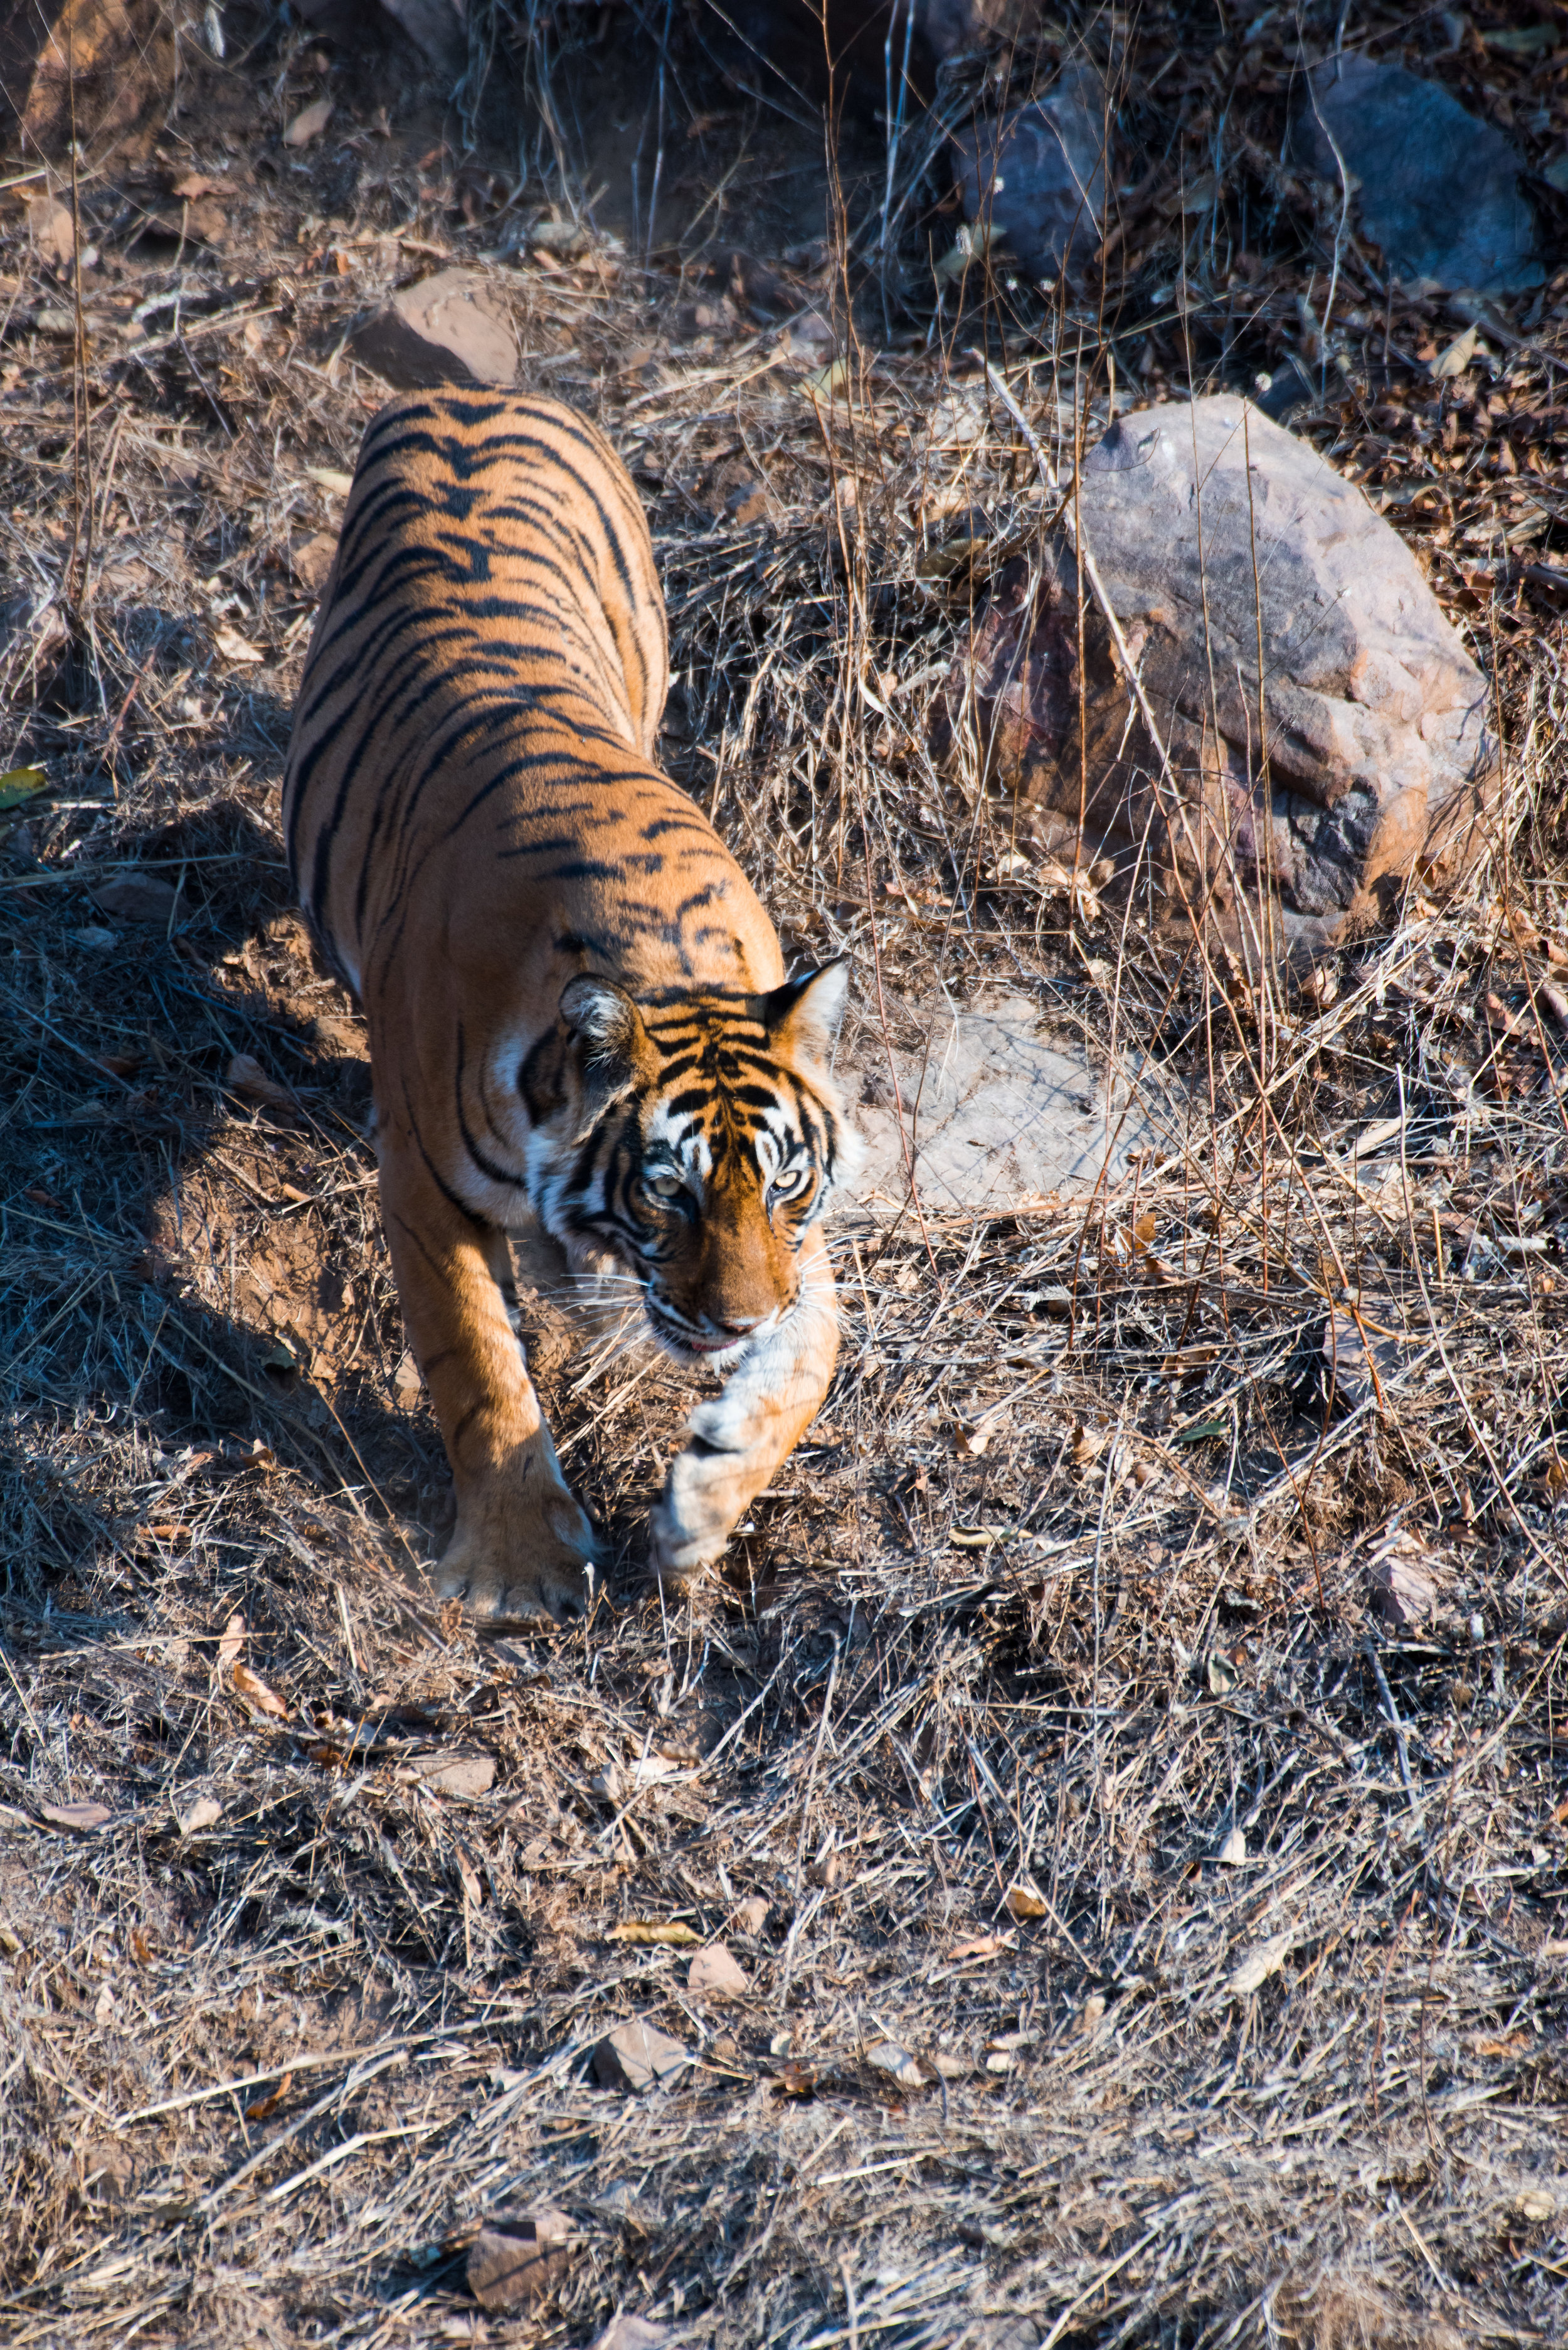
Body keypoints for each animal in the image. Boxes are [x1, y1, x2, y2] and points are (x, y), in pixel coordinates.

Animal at [288, 395, 865, 1626]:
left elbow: (817, 1351)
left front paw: (702, 1512)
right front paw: (520, 1567)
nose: (738, 1324)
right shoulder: (423, 1183)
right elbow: (476, 1362)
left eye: (783, 1185)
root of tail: (480, 396)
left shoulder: (805, 1247)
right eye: (669, 1193)